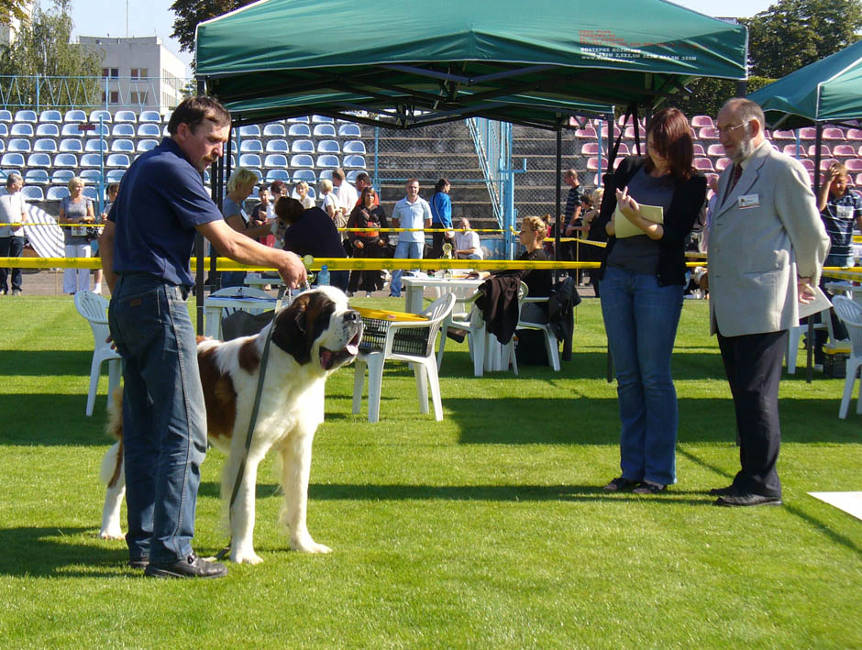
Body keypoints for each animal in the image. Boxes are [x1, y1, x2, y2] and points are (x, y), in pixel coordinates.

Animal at [99, 286, 363, 564]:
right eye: (326, 312)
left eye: (347, 306)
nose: (355, 317)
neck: (292, 376)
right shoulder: (246, 453)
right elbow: (246, 507)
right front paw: (244, 554)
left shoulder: (299, 448)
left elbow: (299, 499)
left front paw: (304, 544)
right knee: (116, 484)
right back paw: (110, 529)